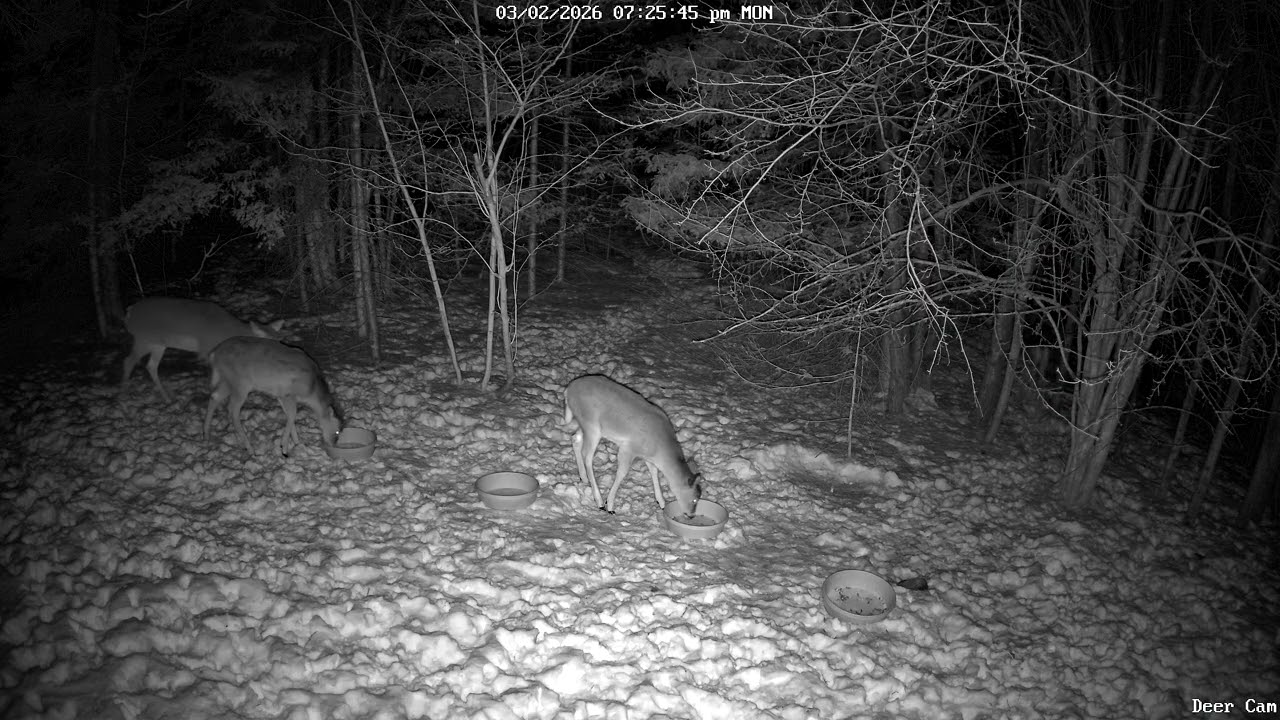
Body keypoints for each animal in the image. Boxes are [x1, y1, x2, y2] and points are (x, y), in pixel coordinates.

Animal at [122, 297, 284, 403]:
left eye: (279, 341)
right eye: (268, 343)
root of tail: (130, 311)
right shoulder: (208, 350)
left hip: (157, 344)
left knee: (150, 365)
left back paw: (167, 398)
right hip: (143, 339)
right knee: (128, 361)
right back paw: (124, 394)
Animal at [202, 336, 341, 456]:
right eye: (338, 430)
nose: (333, 443)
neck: (312, 390)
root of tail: (213, 354)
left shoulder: (281, 396)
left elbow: (290, 416)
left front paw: (297, 443)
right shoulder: (287, 394)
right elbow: (292, 415)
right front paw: (284, 448)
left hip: (227, 380)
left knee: (214, 396)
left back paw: (207, 435)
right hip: (240, 383)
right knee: (232, 410)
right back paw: (250, 449)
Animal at [563, 374, 703, 517]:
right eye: (695, 499)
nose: (691, 515)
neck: (660, 449)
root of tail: (568, 390)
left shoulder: (647, 455)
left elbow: (654, 471)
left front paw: (662, 503)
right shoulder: (628, 448)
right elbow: (622, 473)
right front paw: (610, 506)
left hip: (586, 425)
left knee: (575, 439)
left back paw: (584, 478)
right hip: (592, 426)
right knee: (587, 456)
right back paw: (600, 501)